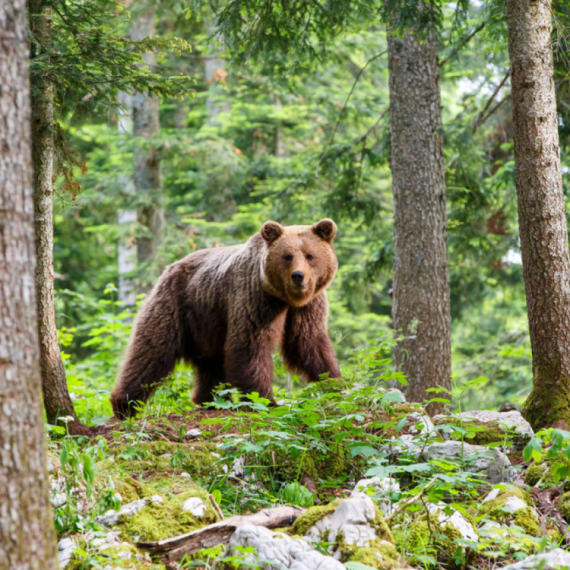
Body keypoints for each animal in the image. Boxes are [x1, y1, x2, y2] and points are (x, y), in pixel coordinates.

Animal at [109, 217, 340, 418]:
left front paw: (334, 383)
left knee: (211, 363)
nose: (298, 276)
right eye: (288, 256)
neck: (284, 298)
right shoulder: (254, 298)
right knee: (151, 351)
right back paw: (125, 405)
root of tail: (170, 267)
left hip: (206, 323)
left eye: (310, 255)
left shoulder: (308, 305)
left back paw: (211, 399)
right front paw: (266, 400)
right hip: (175, 305)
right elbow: (250, 344)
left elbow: (308, 342)